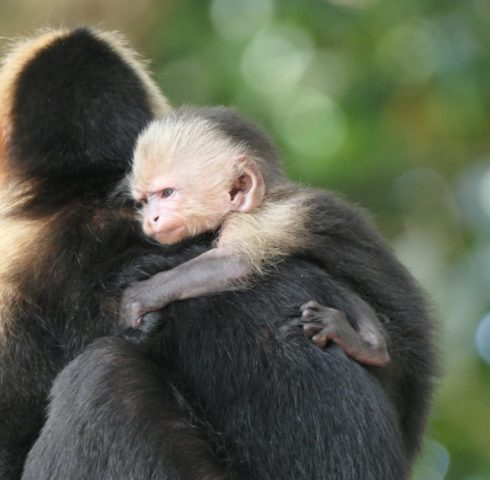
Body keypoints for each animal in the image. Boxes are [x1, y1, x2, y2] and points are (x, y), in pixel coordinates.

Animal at [121, 107, 390, 366]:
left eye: (167, 193)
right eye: (144, 202)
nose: (150, 219)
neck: (268, 195)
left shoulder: (264, 217)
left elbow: (234, 263)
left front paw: (141, 296)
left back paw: (370, 347)